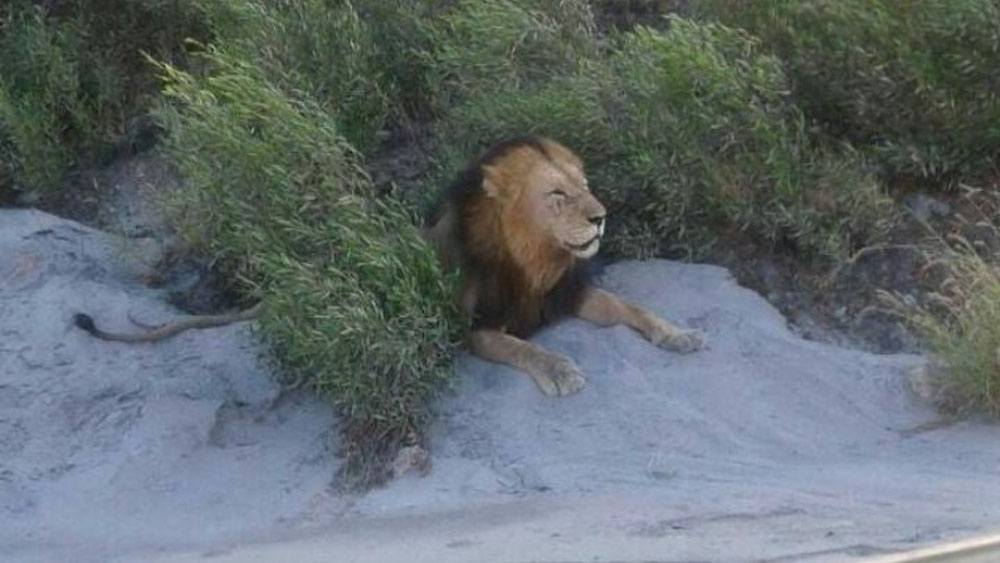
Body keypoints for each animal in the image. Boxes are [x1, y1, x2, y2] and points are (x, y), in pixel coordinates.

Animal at [423, 136, 705, 396]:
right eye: (557, 193)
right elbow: (520, 347)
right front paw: (559, 371)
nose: (601, 218)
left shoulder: (568, 292)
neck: (536, 264)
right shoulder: (478, 326)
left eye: (584, 186)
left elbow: (629, 307)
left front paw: (676, 334)